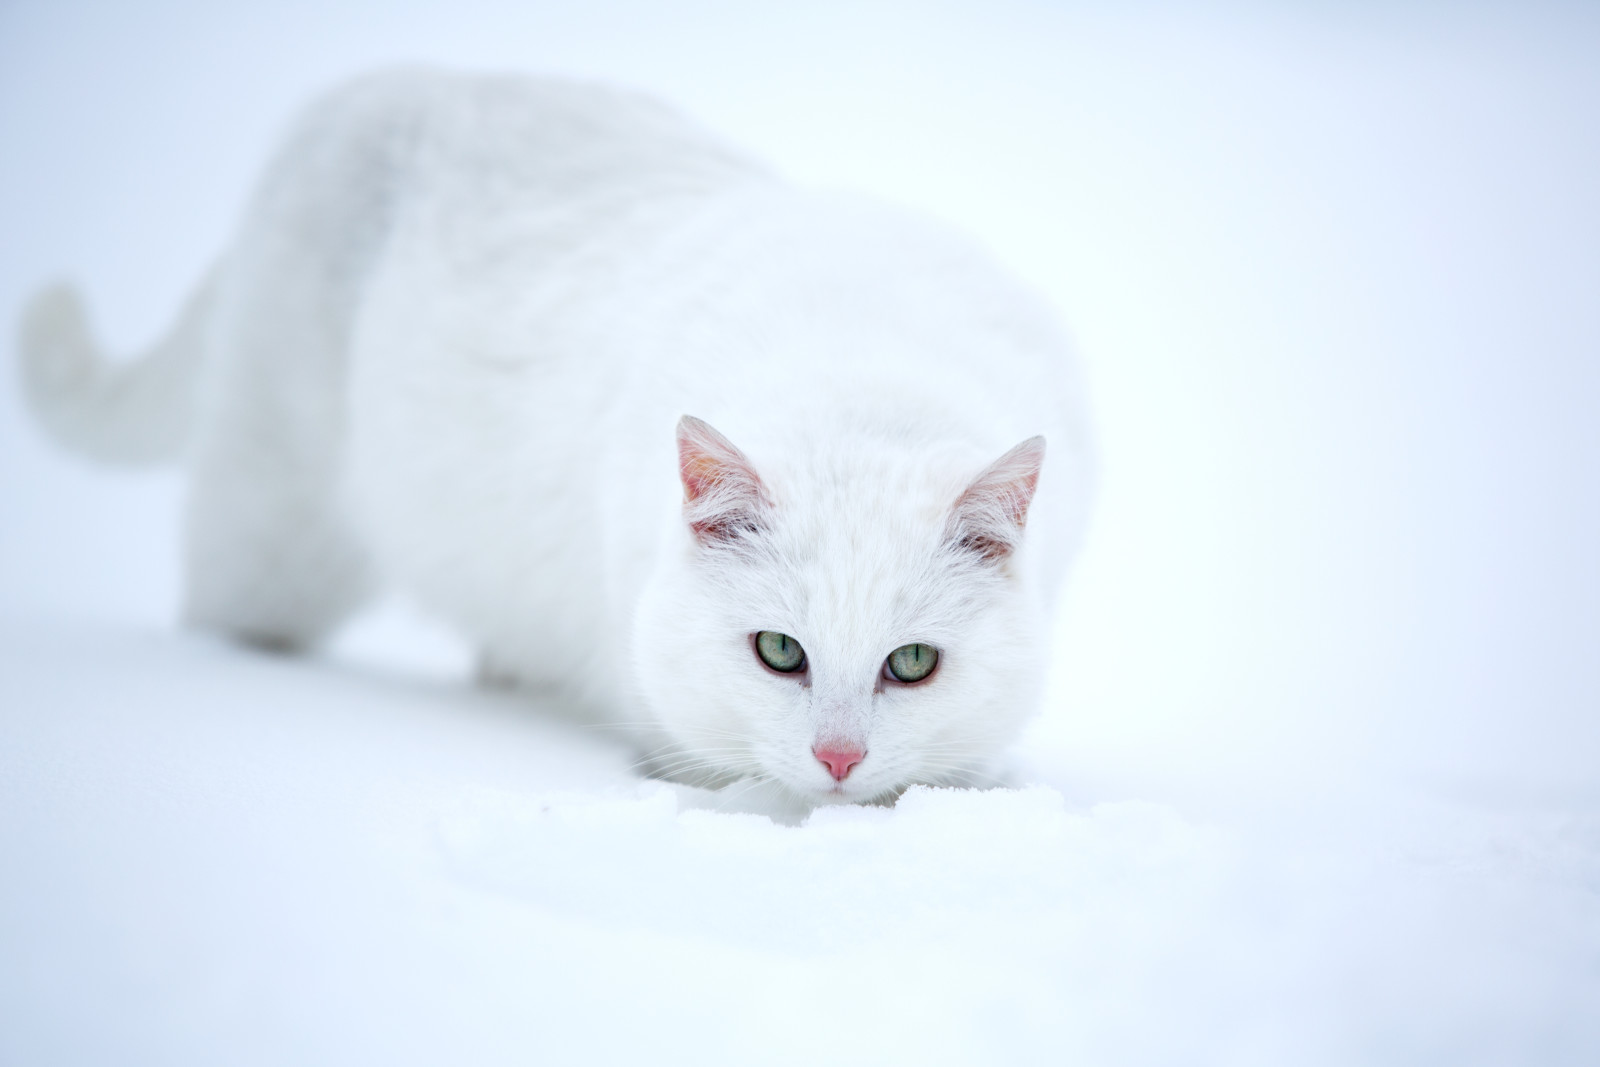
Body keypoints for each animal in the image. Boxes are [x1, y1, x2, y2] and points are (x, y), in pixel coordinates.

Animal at [18, 70, 1094, 806]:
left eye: (911, 664)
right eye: (778, 651)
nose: (839, 757)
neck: (858, 373)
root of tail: (364, 96)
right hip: (271, 529)